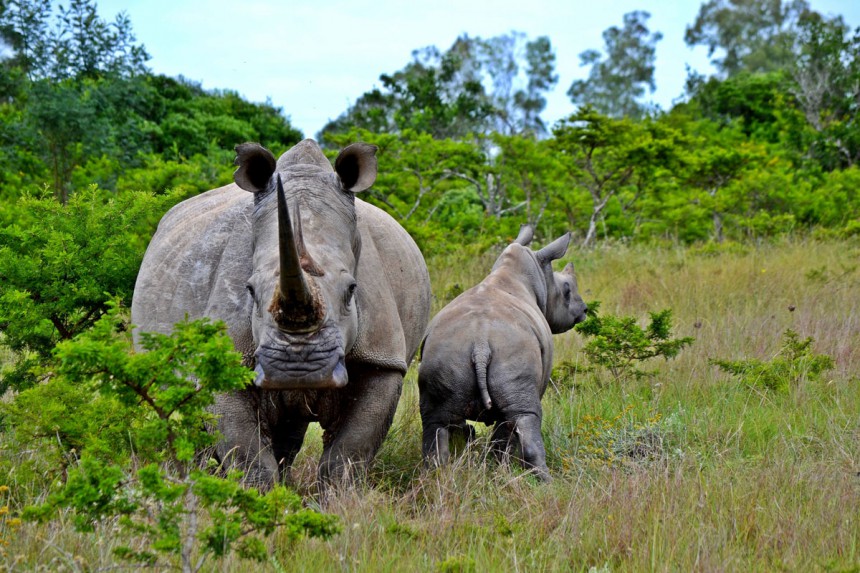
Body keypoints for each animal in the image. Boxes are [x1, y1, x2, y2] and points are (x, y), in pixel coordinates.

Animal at [414, 230, 584, 480]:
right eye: (567, 290)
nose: (584, 310)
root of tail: (480, 344)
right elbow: (506, 431)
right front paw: (498, 465)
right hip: (512, 354)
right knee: (523, 416)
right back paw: (546, 481)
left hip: (444, 354)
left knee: (435, 423)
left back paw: (434, 477)